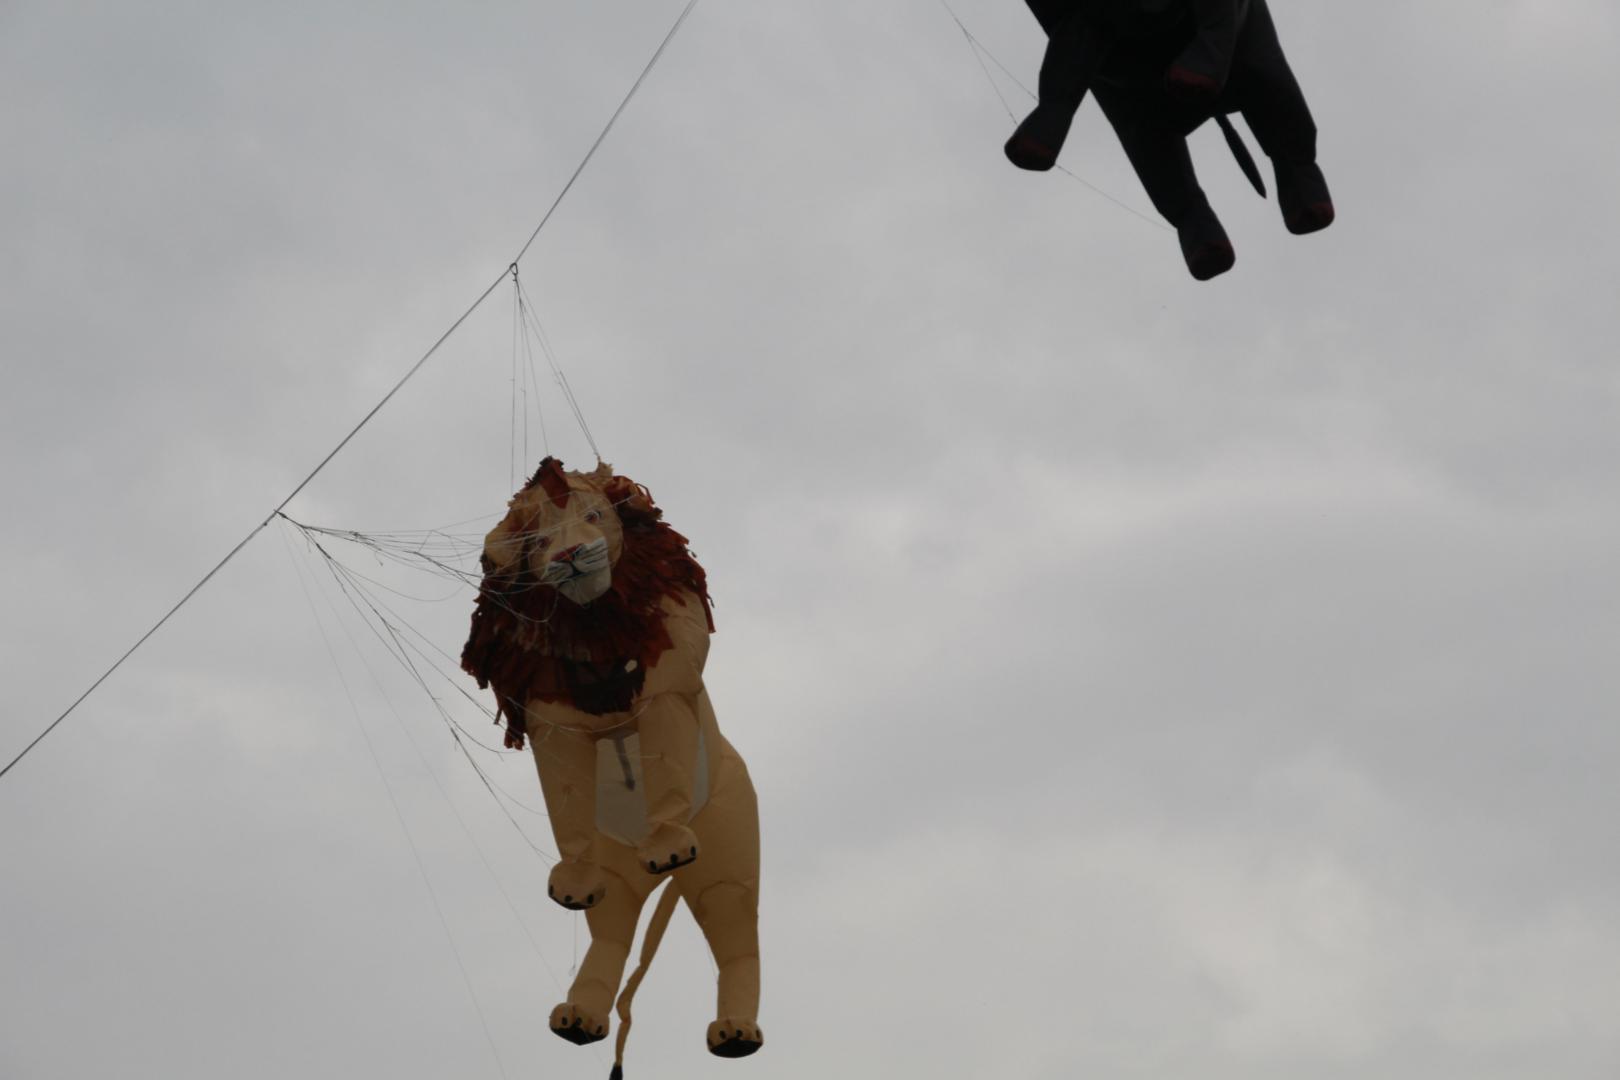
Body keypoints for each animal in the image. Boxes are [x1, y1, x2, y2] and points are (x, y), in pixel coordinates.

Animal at [461, 457, 762, 1068]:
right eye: (538, 539)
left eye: (595, 516)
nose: (569, 555)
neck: (592, 620)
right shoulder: (551, 721)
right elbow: (565, 807)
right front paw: (571, 879)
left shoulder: (668, 681)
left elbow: (667, 757)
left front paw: (668, 840)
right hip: (617, 873)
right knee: (610, 933)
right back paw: (581, 1016)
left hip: (728, 856)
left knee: (737, 940)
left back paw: (736, 1029)